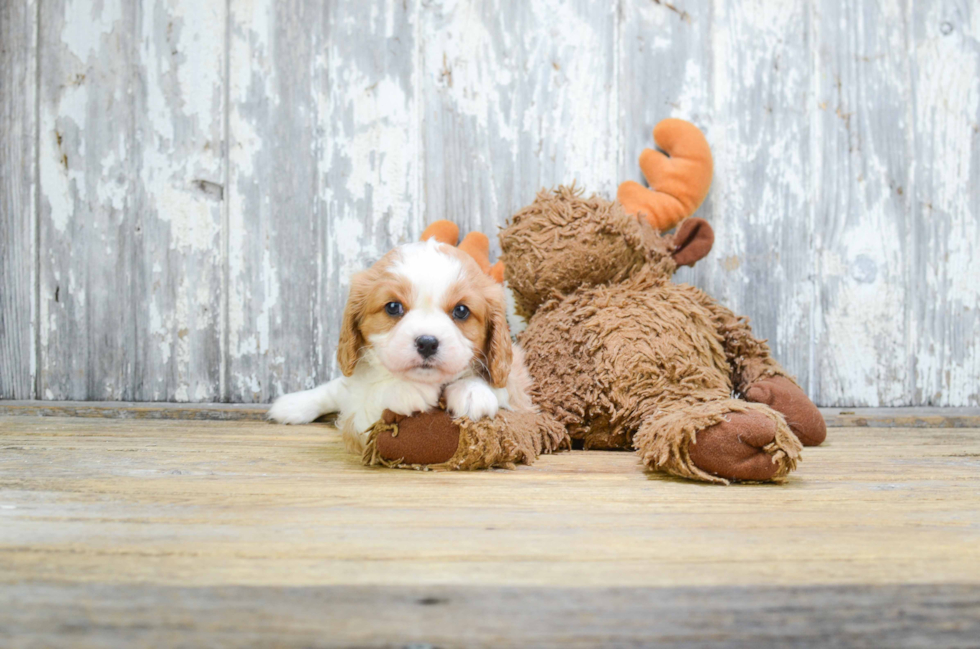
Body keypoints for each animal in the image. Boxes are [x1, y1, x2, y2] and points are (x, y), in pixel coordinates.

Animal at [264, 235, 532, 454]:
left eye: (461, 311)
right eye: (393, 307)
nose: (427, 343)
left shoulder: (519, 385)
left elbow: (500, 386)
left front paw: (472, 390)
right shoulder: (359, 421)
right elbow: (372, 395)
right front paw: (405, 388)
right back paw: (293, 405)